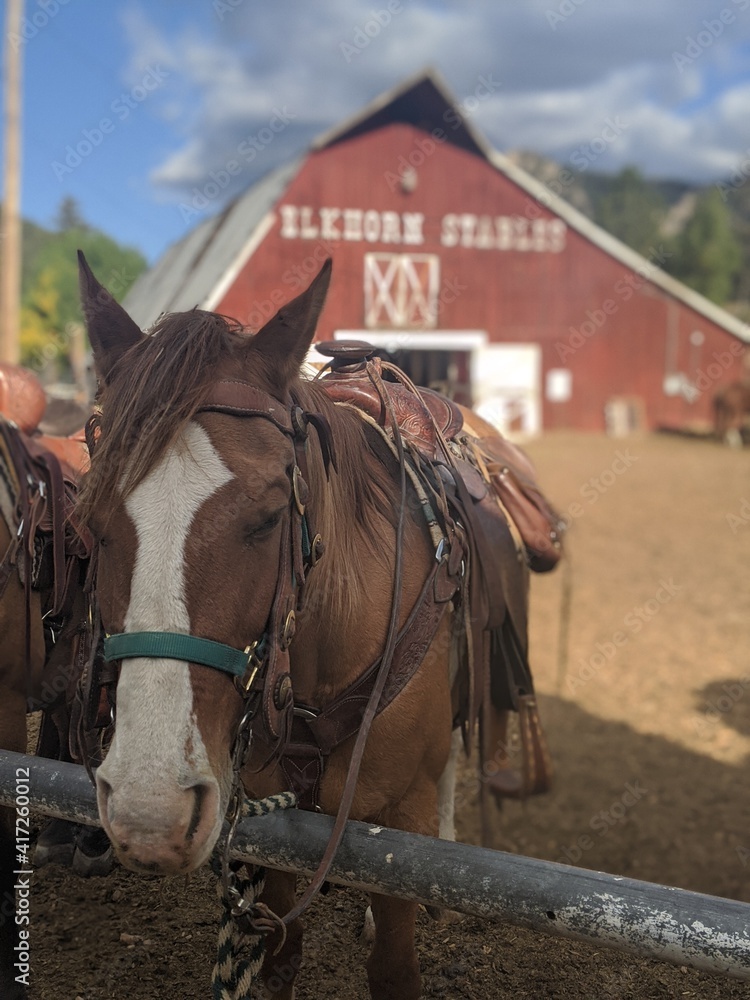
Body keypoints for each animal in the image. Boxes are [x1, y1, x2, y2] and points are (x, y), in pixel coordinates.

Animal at [77, 252, 553, 999]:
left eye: (272, 512)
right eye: (90, 519)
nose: (149, 813)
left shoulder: (405, 810)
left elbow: (394, 964)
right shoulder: (273, 821)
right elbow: (280, 958)